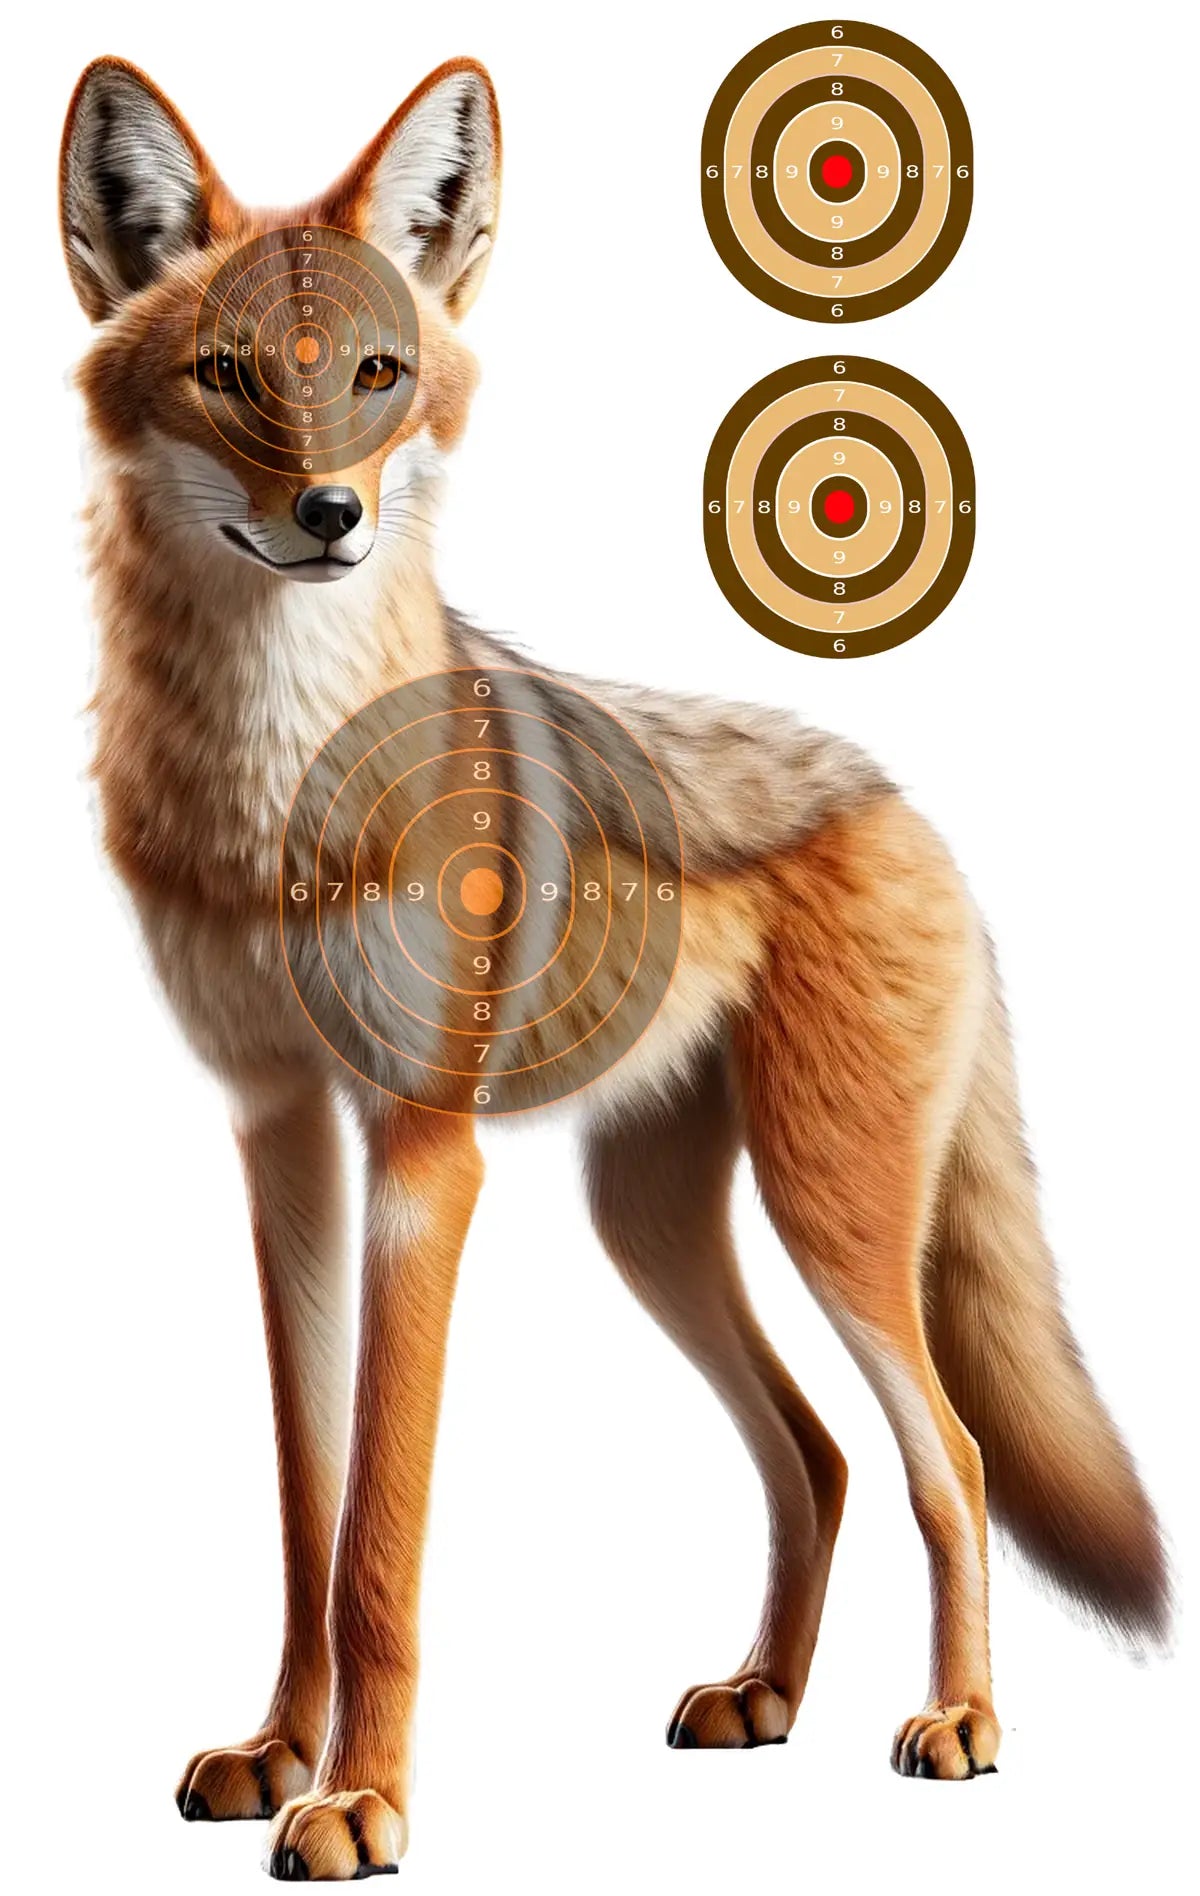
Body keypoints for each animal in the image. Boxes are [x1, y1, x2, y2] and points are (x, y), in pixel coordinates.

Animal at [61, 54, 1166, 1880]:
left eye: (379, 376)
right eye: (227, 377)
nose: (331, 517)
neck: (273, 791)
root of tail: (900, 795)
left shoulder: (421, 1157)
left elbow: (379, 1545)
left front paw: (361, 1801)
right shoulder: (281, 1137)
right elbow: (305, 1514)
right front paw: (281, 1753)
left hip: (830, 1219)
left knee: (949, 1460)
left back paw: (960, 1724)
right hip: (653, 1226)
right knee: (816, 1456)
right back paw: (764, 1695)